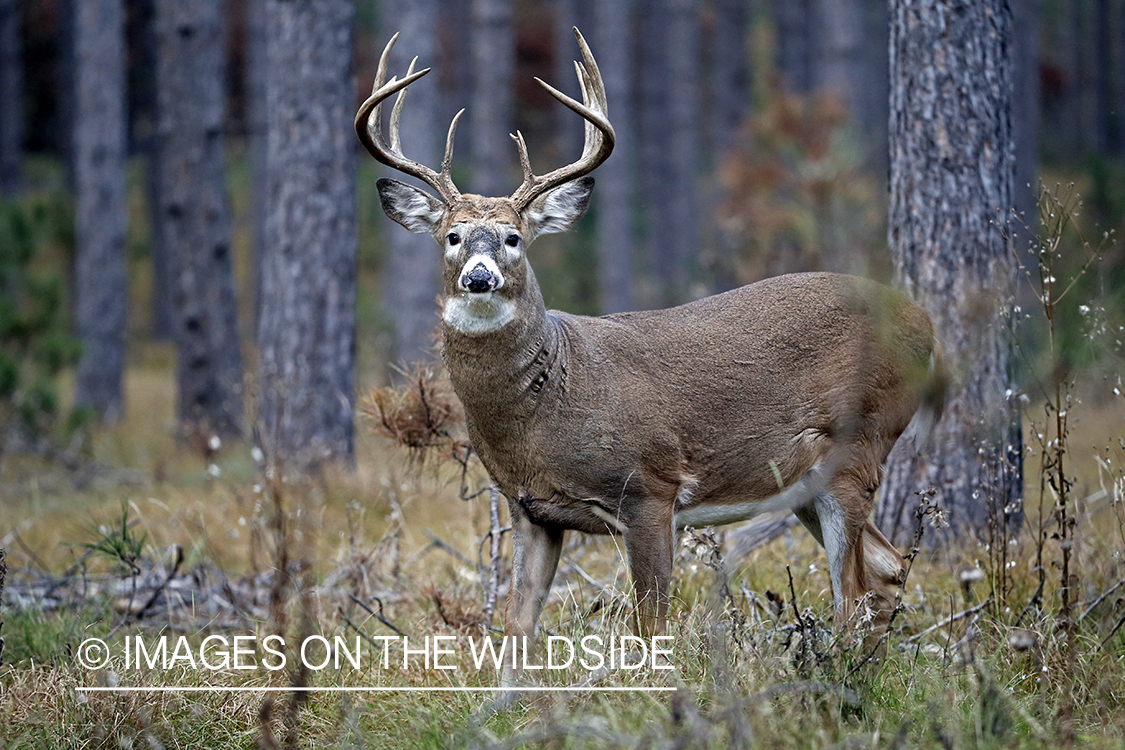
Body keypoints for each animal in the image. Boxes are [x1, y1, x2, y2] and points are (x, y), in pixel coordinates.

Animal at [355, 29, 945, 688]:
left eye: (514, 238)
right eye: (452, 237)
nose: (479, 277)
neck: (549, 399)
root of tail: (925, 322)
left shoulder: (651, 490)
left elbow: (649, 626)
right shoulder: (531, 508)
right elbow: (516, 629)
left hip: (858, 444)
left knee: (854, 591)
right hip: (806, 484)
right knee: (888, 570)